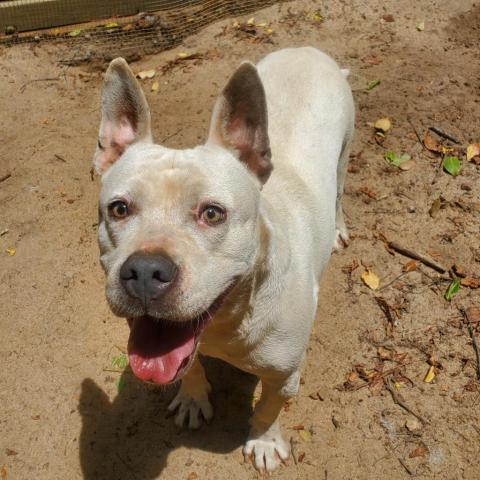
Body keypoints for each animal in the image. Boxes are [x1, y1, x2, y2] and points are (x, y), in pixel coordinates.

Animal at [94, 47, 352, 470]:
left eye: (213, 214)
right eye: (118, 209)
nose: (146, 271)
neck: (229, 320)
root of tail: (307, 50)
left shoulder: (285, 378)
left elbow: (268, 409)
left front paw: (264, 441)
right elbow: (190, 367)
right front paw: (192, 398)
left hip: (345, 151)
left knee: (341, 190)